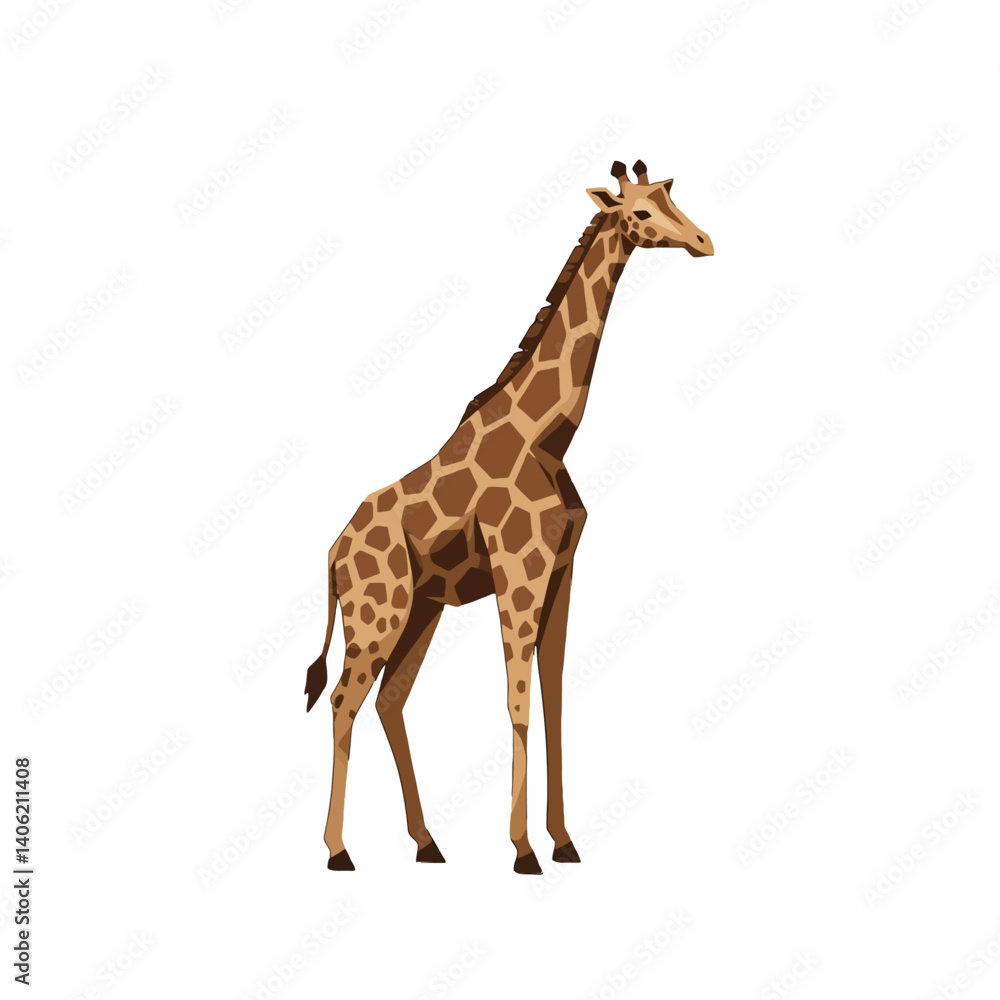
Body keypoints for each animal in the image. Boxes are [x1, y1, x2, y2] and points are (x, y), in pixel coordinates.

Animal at [304, 160, 714, 873]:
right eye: (640, 211)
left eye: (672, 198)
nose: (703, 241)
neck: (549, 435)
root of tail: (333, 553)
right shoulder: (518, 570)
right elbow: (517, 699)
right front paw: (523, 850)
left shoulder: (562, 570)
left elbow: (553, 700)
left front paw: (564, 840)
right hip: (378, 609)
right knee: (343, 699)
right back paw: (338, 850)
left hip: (421, 609)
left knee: (388, 700)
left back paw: (427, 843)